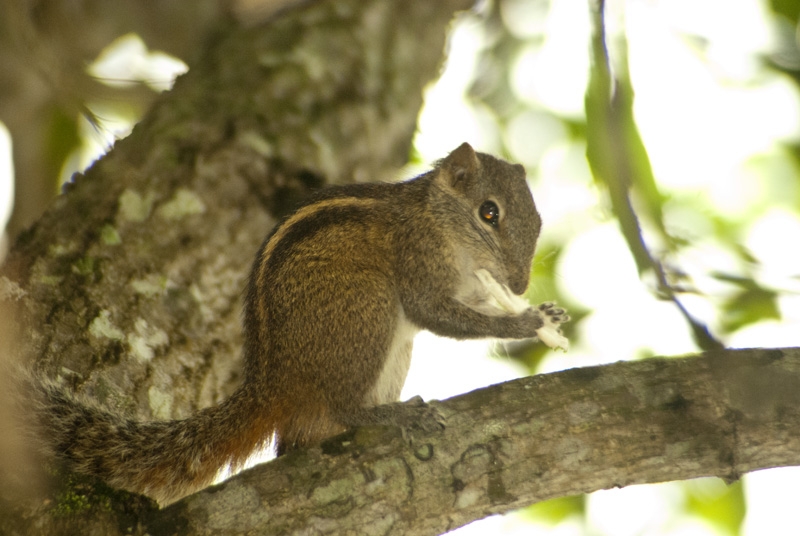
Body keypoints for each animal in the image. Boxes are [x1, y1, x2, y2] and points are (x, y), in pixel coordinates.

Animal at [31, 142, 568, 506]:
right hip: (366, 311)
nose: (520, 283)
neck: (439, 219)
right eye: (489, 212)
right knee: (346, 406)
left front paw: (540, 313)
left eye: (539, 220)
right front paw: (525, 323)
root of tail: (273, 384)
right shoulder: (418, 257)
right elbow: (432, 311)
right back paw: (391, 416)